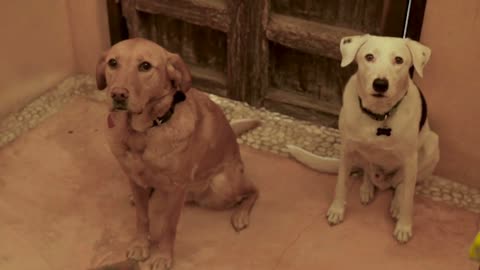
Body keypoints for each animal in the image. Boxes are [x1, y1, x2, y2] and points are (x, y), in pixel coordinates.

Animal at [96, 38, 258, 270]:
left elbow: (168, 227)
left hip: (222, 185)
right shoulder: (134, 178)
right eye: (112, 63)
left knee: (253, 190)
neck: (143, 132)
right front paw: (140, 244)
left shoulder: (176, 190)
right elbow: (142, 217)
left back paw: (241, 215)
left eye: (145, 66)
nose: (118, 94)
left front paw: (163, 257)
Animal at [286, 33, 440, 243]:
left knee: (401, 184)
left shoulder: (410, 159)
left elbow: (408, 198)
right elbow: (341, 184)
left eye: (399, 60)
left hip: (432, 146)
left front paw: (404, 226)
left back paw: (396, 204)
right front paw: (337, 210)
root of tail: (384, 180)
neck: (379, 115)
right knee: (369, 171)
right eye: (369, 57)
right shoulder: (347, 150)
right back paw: (367, 188)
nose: (380, 84)